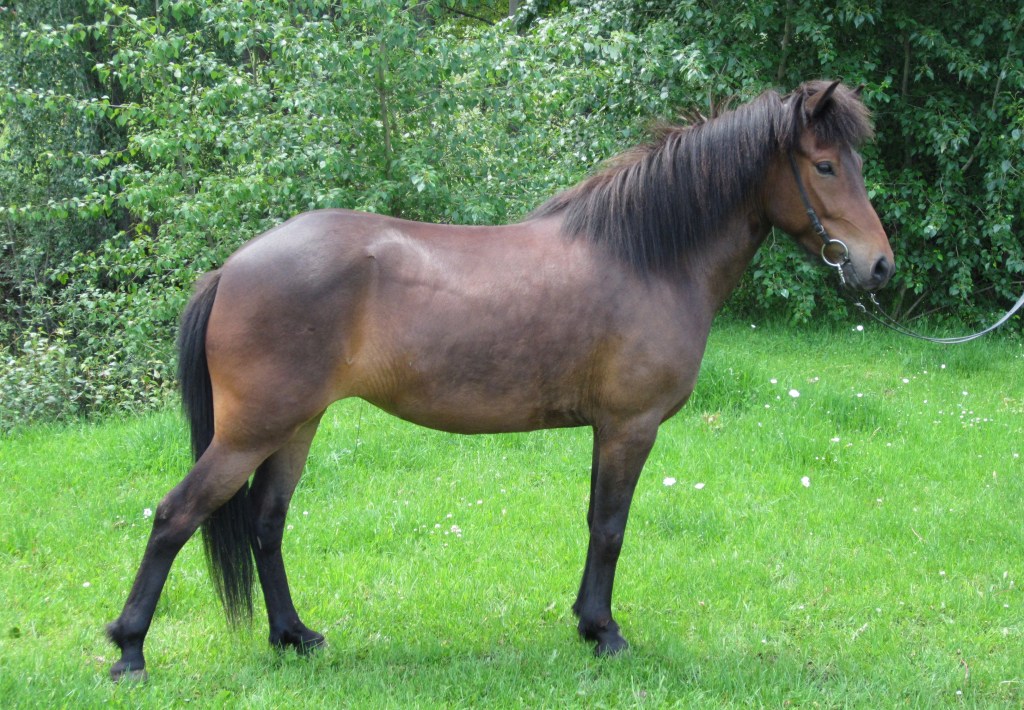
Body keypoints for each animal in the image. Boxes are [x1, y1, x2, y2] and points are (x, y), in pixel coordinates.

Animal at [106, 80, 894, 680]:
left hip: (294, 427)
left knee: (267, 526)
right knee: (175, 516)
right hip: (251, 431)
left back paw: (294, 636)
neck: (646, 257)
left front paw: (586, 624)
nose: (879, 265)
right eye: (825, 166)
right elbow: (610, 528)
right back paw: (130, 650)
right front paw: (605, 632)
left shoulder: (610, 430)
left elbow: (596, 524)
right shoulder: (628, 427)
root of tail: (231, 267)